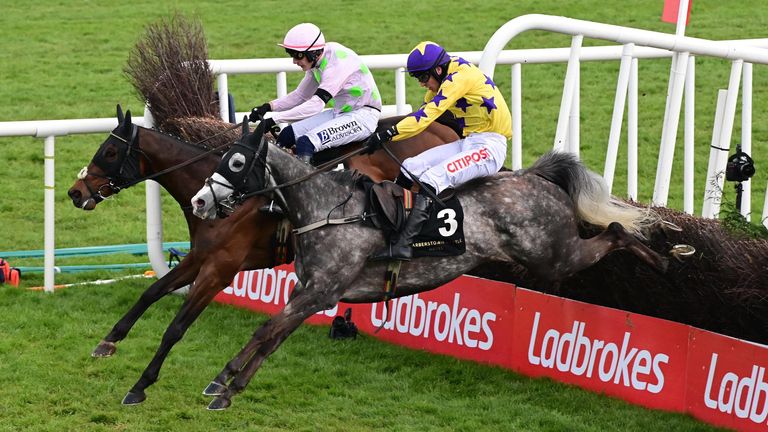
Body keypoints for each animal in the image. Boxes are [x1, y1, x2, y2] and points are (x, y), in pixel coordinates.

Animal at [66, 104, 460, 404]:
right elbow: (150, 293)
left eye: (110, 152)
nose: (74, 192)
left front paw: (141, 385)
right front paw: (108, 341)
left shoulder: (220, 270)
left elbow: (176, 328)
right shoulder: (199, 258)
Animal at [189, 123, 668, 410]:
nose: (199, 201)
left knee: (614, 230)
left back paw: (663, 258)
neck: (327, 208)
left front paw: (221, 382)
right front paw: (227, 389)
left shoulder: (321, 291)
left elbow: (264, 331)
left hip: (554, 255)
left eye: (236, 162)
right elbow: (272, 338)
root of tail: (535, 177)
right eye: (222, 157)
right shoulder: (306, 292)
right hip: (550, 255)